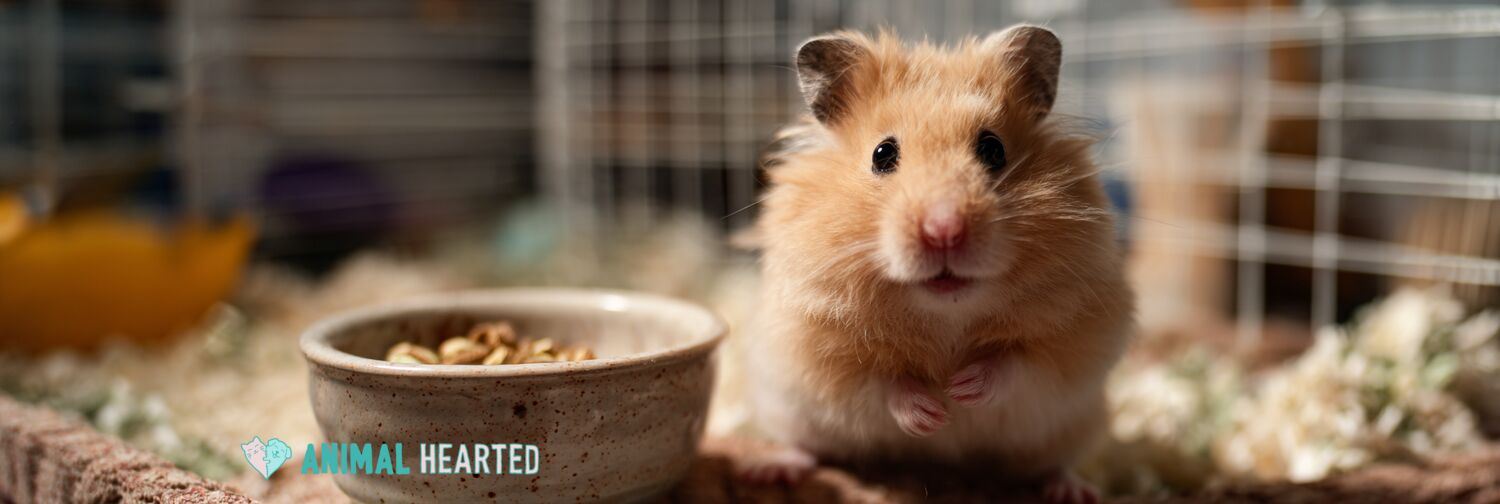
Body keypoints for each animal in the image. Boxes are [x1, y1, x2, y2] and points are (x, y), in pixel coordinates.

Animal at [741, 25, 1133, 504]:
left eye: (993, 149)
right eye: (882, 154)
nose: (944, 230)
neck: (946, 312)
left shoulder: (1077, 341)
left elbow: (1016, 364)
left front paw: (961, 391)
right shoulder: (821, 353)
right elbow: (881, 383)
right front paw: (932, 413)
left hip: (1077, 427)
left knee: (1053, 464)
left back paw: (1072, 489)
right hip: (788, 410)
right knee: (807, 448)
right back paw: (769, 469)